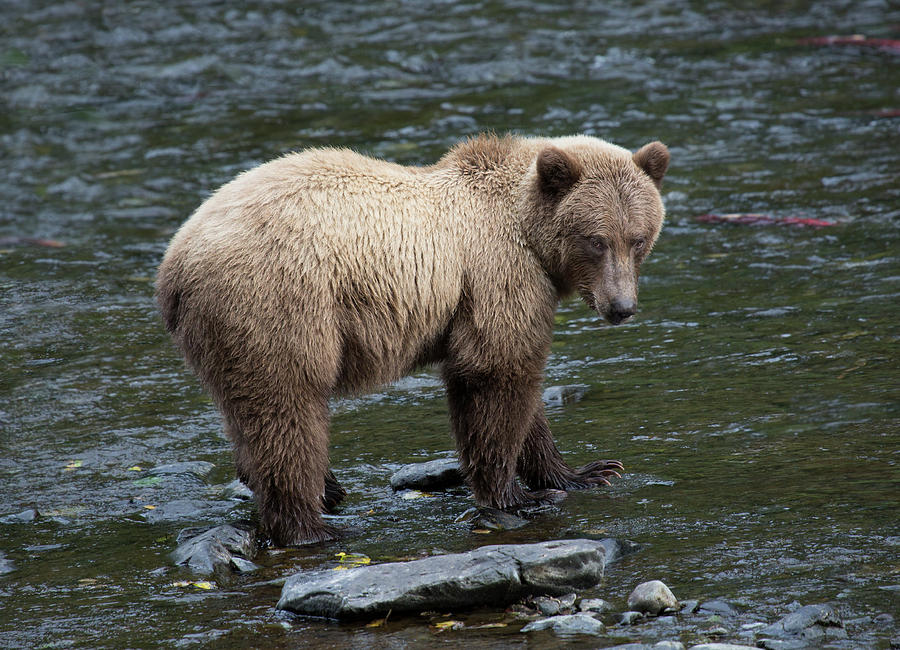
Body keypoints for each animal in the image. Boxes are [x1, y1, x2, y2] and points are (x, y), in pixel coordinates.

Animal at [158, 134, 672, 544]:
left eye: (638, 238)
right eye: (596, 239)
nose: (621, 307)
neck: (529, 236)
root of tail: (174, 264)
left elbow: (521, 396)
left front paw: (587, 473)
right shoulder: (497, 275)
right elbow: (496, 376)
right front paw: (513, 495)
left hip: (225, 336)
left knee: (247, 415)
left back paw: (323, 491)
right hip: (278, 305)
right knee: (288, 411)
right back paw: (315, 527)